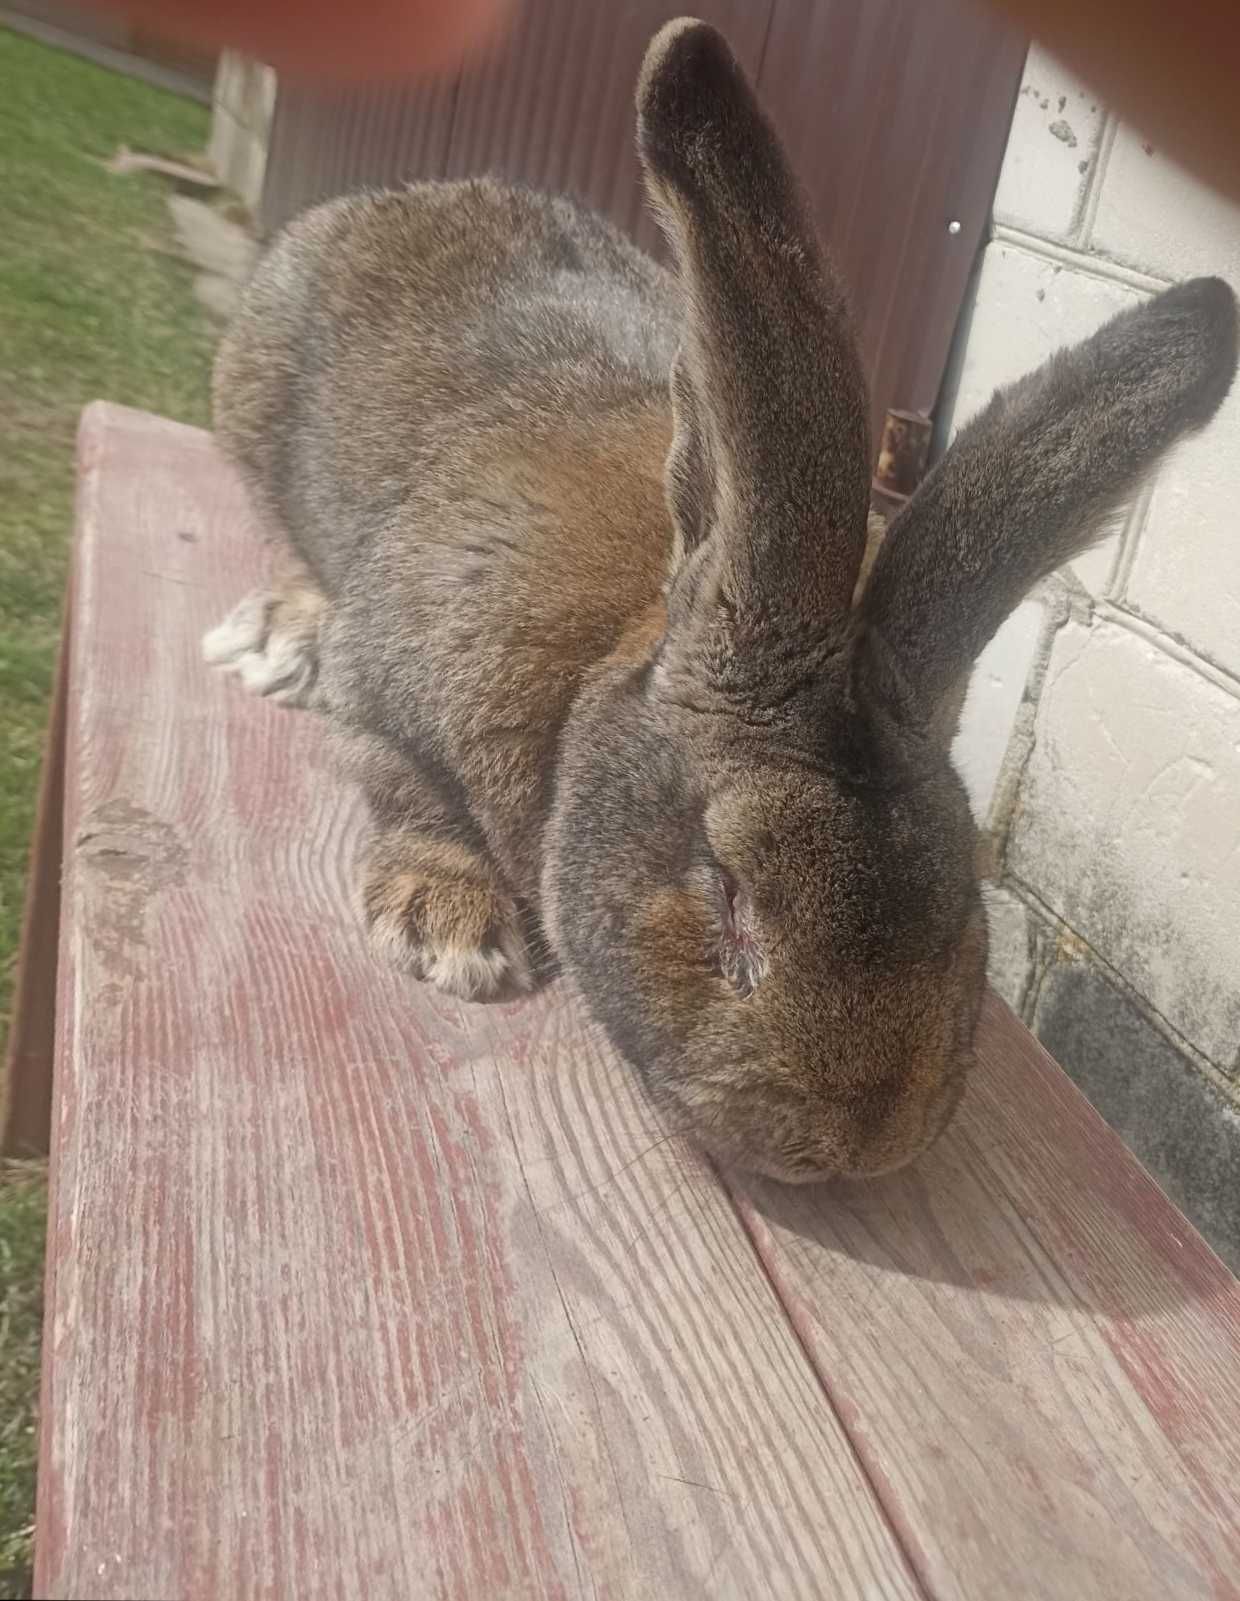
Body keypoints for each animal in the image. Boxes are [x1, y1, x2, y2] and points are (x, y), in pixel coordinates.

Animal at [206, 18, 1240, 1184]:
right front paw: (451, 929)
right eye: (725, 885)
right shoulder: (388, 687)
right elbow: (401, 782)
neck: (609, 655)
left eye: (966, 891)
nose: (858, 1143)